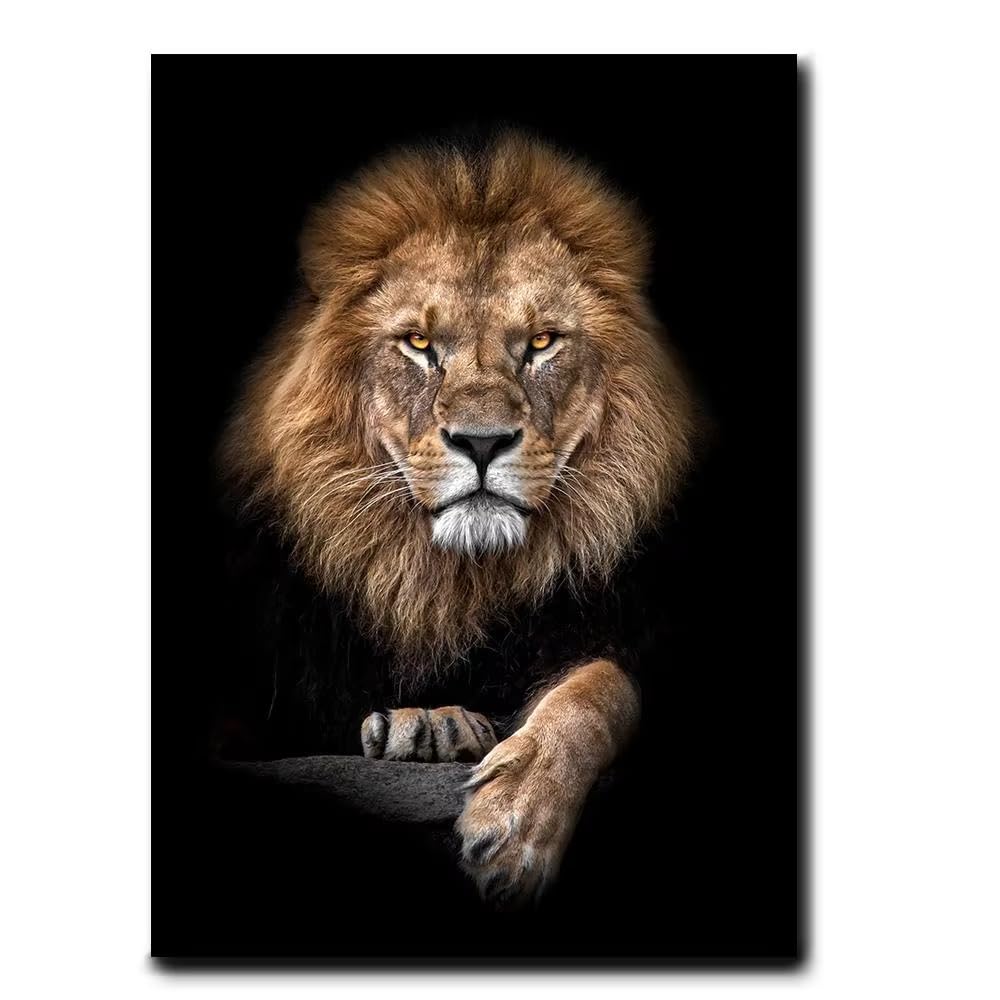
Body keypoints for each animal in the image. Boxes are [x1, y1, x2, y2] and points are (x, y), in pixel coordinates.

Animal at [216, 132, 697, 908]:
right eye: (418, 344)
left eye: (541, 343)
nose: (481, 442)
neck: (450, 583)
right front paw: (427, 725)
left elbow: (601, 687)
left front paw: (517, 822)